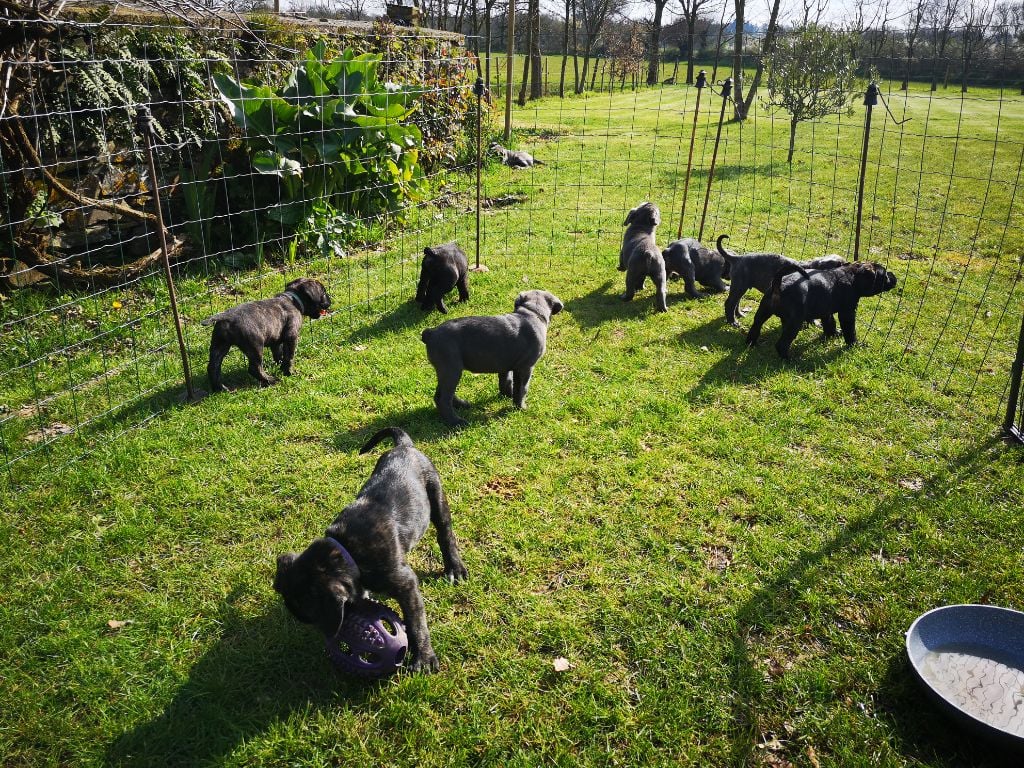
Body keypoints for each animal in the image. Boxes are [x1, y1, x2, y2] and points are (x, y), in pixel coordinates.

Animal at [197, 276, 329, 393]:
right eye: (323, 292)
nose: (330, 299)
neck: (293, 300)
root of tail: (226, 316)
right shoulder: (291, 337)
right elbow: (289, 357)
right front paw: (289, 372)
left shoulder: (276, 341)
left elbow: (278, 353)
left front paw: (279, 365)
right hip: (255, 346)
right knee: (254, 368)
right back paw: (270, 380)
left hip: (219, 345)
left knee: (213, 368)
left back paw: (220, 389)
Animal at [270, 430, 466, 675]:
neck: (348, 550)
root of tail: (404, 445)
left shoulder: (406, 584)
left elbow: (416, 622)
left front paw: (424, 657)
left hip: (436, 494)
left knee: (445, 533)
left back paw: (455, 568)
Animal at [419, 290, 565, 430]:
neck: (531, 313)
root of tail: (430, 333)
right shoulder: (525, 368)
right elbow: (522, 389)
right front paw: (520, 406)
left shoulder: (506, 365)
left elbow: (506, 381)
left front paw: (508, 395)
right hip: (451, 370)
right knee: (443, 399)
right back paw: (456, 422)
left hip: (446, 371)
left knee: (441, 394)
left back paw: (461, 405)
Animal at [745, 260, 897, 360]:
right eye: (885, 276)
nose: (894, 277)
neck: (853, 277)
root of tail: (779, 285)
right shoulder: (847, 313)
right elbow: (850, 331)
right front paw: (855, 344)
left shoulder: (826, 311)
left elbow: (830, 323)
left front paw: (833, 334)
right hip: (795, 323)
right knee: (782, 344)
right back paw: (789, 359)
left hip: (763, 312)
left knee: (755, 327)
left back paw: (751, 344)